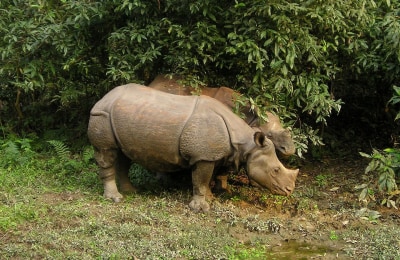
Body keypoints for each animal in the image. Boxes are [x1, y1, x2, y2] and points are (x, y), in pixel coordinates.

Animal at [88, 83, 300, 211]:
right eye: (275, 170)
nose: (289, 190)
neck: (245, 143)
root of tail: (103, 97)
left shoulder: (214, 154)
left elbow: (207, 179)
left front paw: (211, 198)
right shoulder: (203, 156)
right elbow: (200, 179)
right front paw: (201, 208)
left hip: (122, 117)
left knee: (124, 156)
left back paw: (131, 191)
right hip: (102, 115)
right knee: (107, 153)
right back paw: (116, 198)